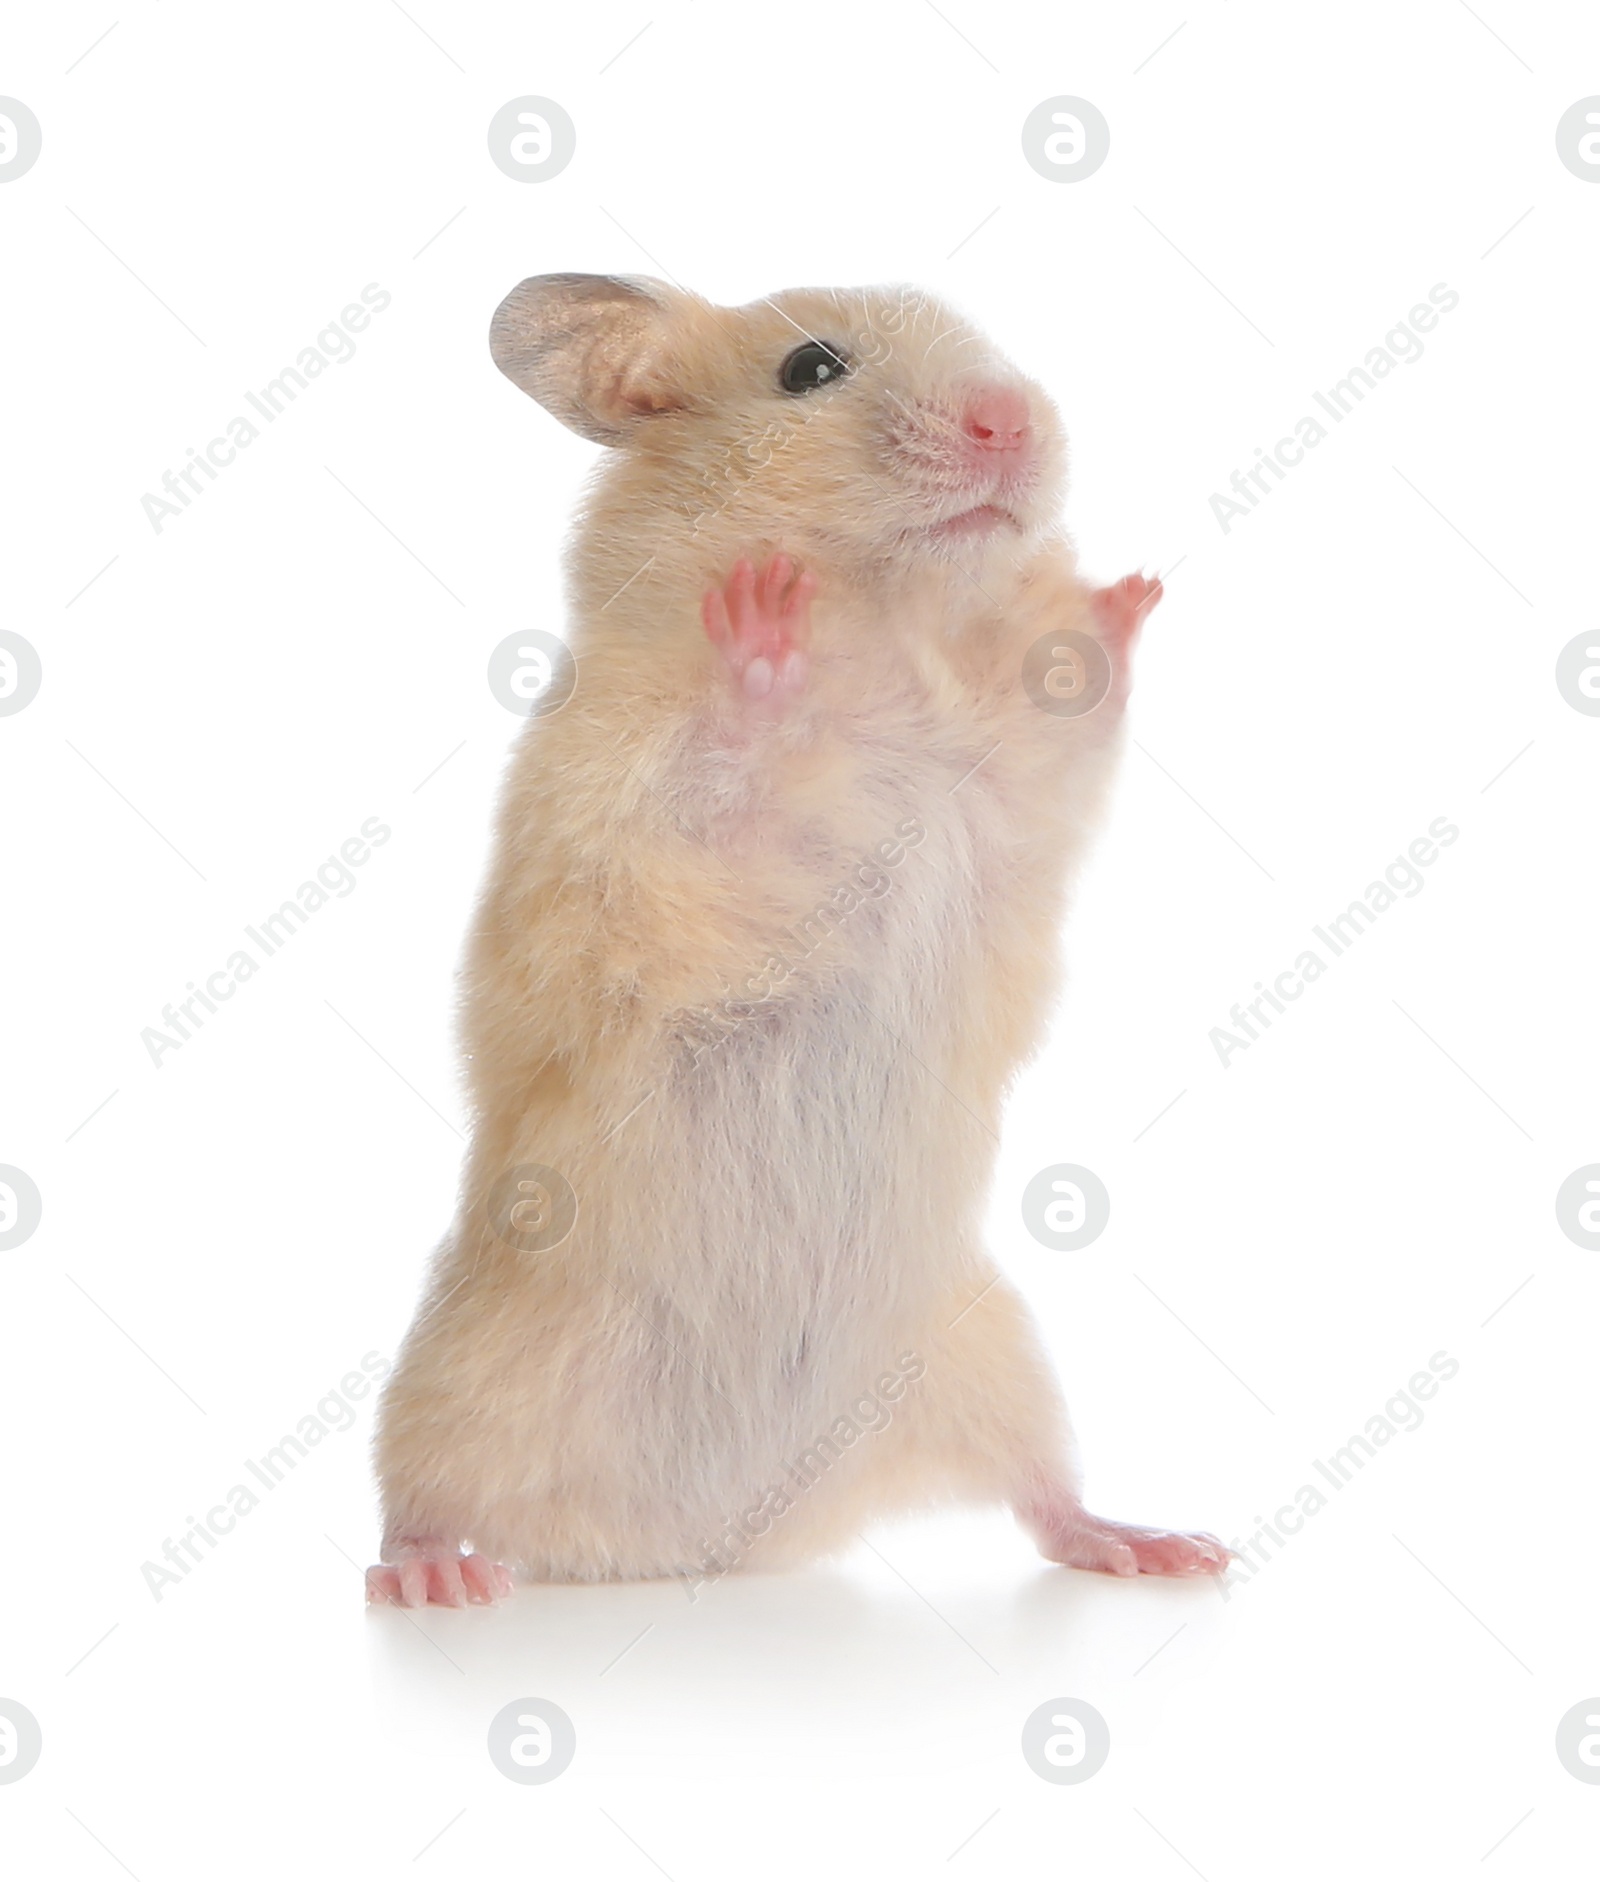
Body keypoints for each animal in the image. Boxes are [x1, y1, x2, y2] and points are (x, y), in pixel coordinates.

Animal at [367, 274, 1219, 1603]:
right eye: (809, 369)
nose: (1010, 418)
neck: (889, 632)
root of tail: (690, 1540)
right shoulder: (648, 817)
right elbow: (732, 758)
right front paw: (763, 624)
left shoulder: (1001, 806)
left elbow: (1067, 719)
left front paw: (1120, 599)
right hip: (464, 1371)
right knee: (416, 1496)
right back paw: (435, 1578)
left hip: (990, 1355)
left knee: (1045, 1500)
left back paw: (1161, 1546)